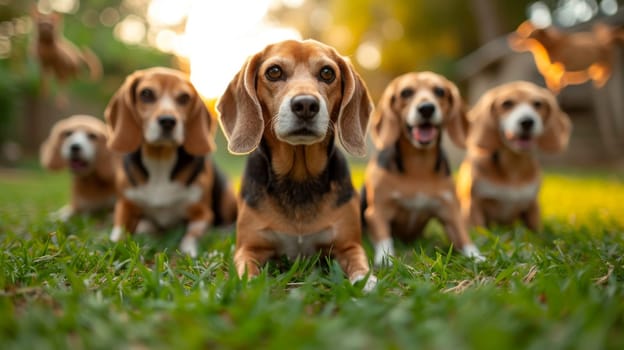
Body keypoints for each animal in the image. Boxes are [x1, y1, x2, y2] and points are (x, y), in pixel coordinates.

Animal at [105, 66, 236, 258]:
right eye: (146, 93)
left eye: (184, 97)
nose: (168, 121)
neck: (160, 160)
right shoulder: (125, 205)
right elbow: (118, 232)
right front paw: (115, 245)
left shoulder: (203, 214)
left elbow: (191, 234)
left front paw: (189, 250)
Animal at [217, 39, 378, 290]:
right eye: (274, 71)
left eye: (327, 73)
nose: (305, 104)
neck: (299, 178)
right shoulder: (249, 248)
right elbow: (246, 272)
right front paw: (248, 286)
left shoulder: (349, 246)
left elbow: (360, 264)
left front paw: (365, 281)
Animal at [360, 72, 482, 266]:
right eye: (406, 92)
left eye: (440, 91)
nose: (426, 108)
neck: (418, 167)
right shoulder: (377, 212)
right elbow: (384, 240)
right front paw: (386, 259)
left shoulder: (450, 211)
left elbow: (464, 237)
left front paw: (476, 256)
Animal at [450, 81, 572, 231]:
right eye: (507, 104)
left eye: (537, 104)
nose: (527, 121)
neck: (513, 167)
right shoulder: (474, 205)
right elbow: (478, 229)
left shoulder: (532, 206)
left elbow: (536, 231)